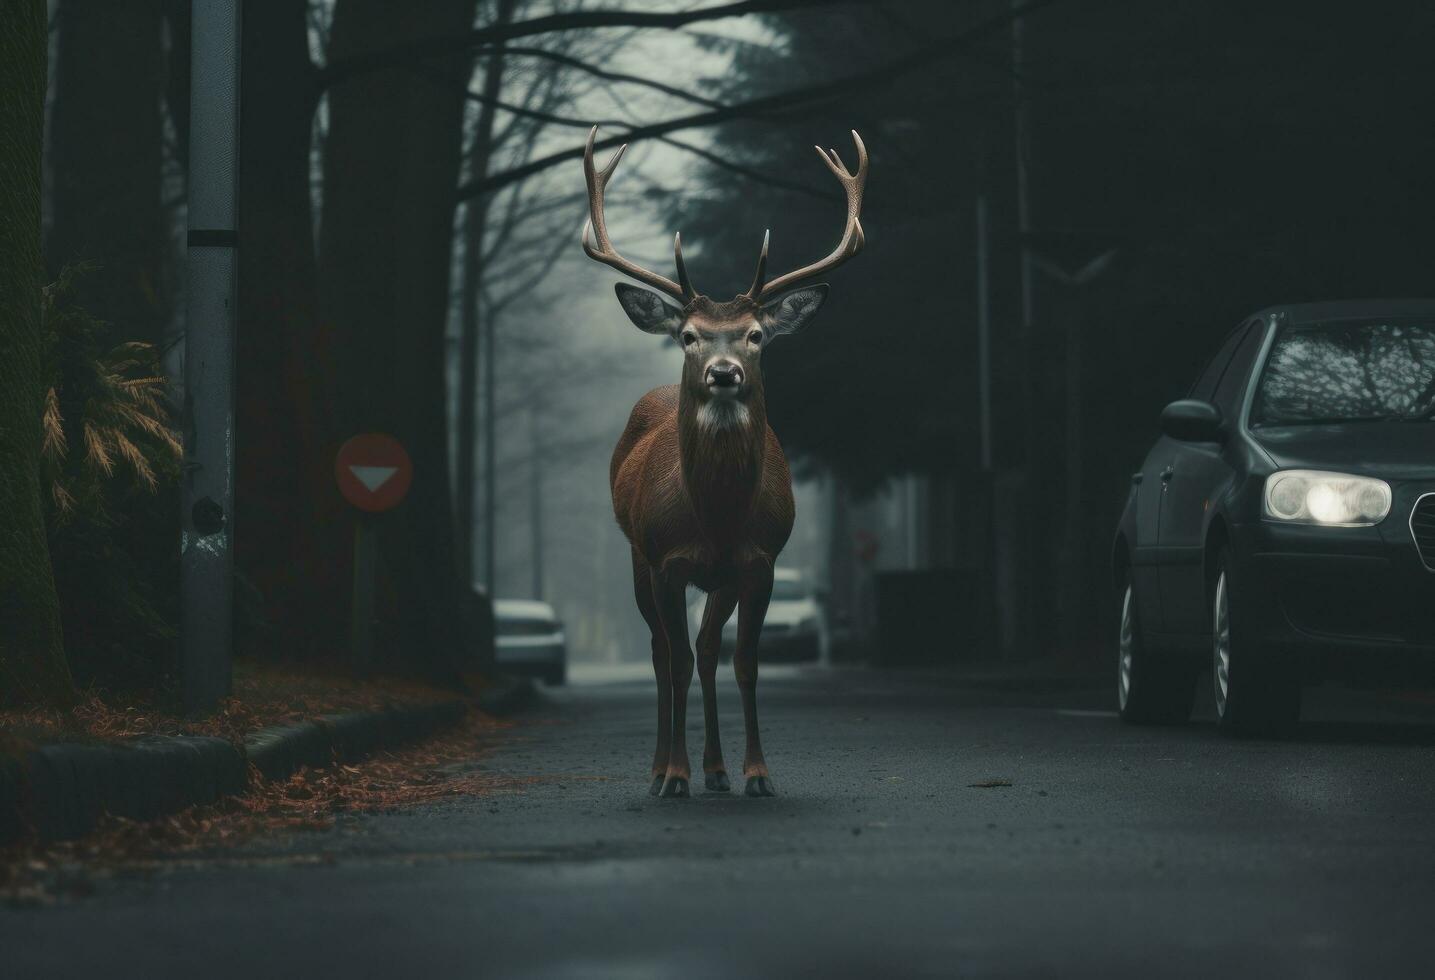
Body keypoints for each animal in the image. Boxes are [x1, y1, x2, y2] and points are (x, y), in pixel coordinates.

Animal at [579, 124, 866, 797]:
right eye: (689, 335)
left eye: (757, 334)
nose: (724, 372)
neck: (714, 516)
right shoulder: (664, 560)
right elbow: (676, 659)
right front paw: (674, 774)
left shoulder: (758, 561)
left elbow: (744, 661)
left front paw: (757, 773)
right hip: (635, 555)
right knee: (664, 654)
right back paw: (664, 769)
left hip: (722, 579)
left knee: (710, 649)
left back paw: (715, 770)